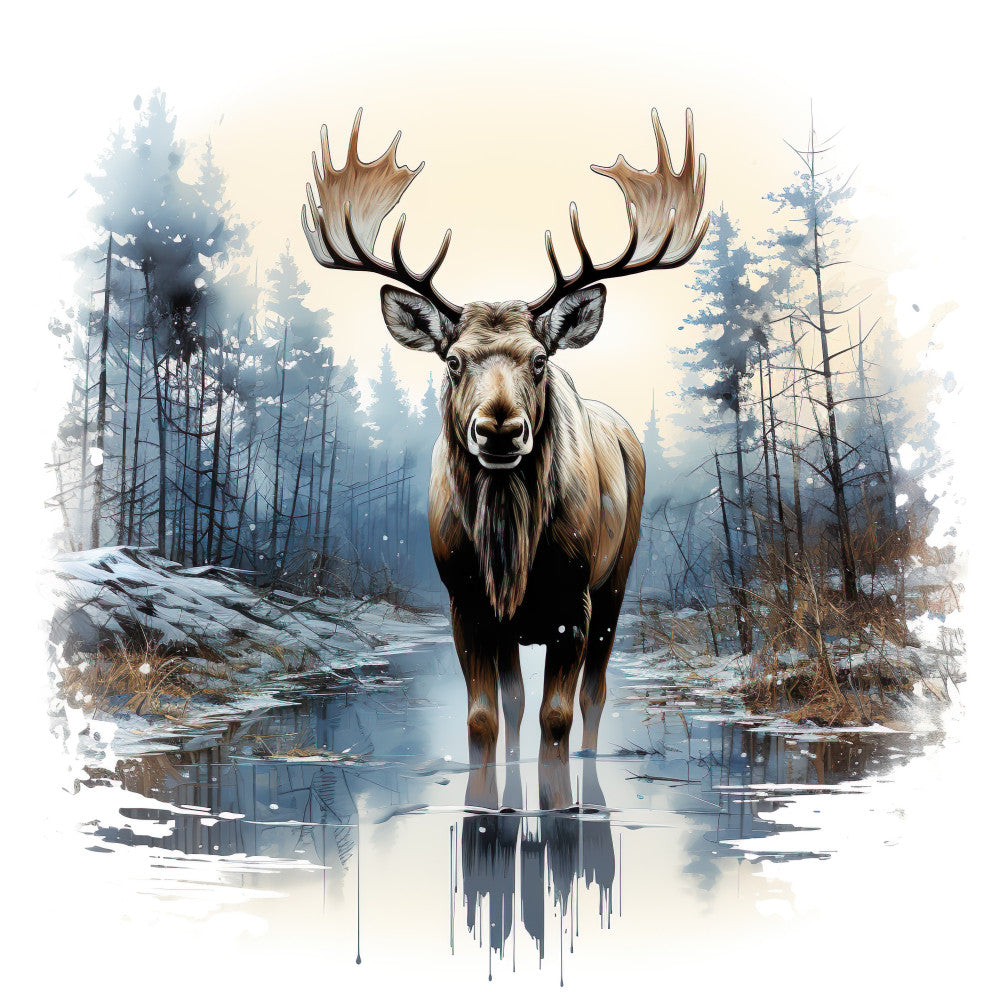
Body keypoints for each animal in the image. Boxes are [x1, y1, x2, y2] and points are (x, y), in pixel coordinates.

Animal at [302, 108, 708, 808]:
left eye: (539, 360)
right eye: (453, 360)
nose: (498, 428)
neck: (510, 547)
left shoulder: (574, 600)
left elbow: (558, 715)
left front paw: (559, 800)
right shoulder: (465, 600)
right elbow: (485, 717)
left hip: (618, 576)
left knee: (595, 694)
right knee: (516, 701)